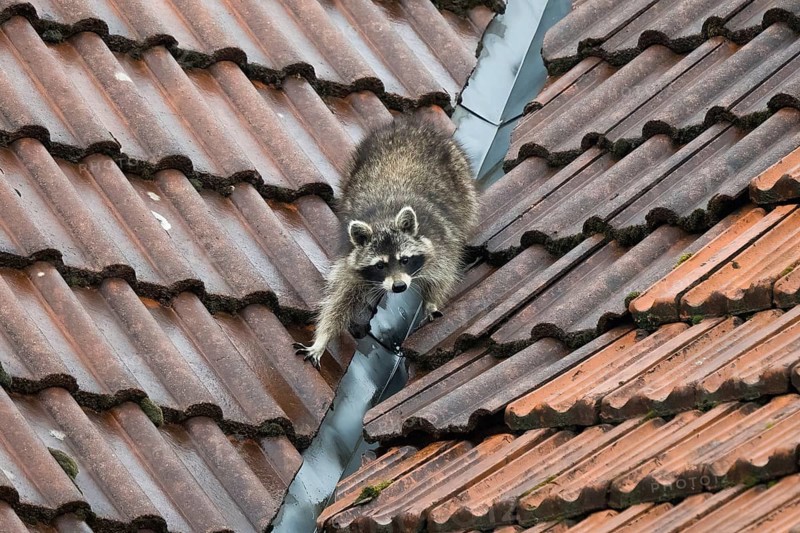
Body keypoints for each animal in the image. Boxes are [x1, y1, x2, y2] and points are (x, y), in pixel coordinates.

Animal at [294, 119, 478, 368]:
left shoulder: (441, 242)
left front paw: (432, 302)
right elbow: (338, 303)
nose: (398, 286)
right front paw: (321, 339)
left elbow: (443, 276)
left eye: (405, 260)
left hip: (462, 179)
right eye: (380, 265)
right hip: (353, 169)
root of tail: (410, 124)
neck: (384, 221)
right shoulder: (350, 263)